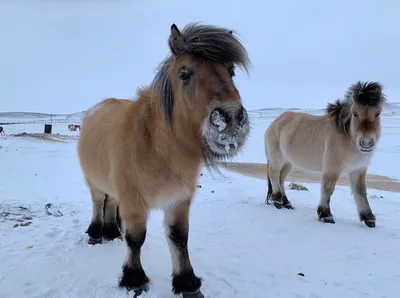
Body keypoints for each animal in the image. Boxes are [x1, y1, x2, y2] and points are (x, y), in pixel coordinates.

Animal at [77, 22, 250, 298]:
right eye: (184, 73)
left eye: (231, 72)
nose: (231, 120)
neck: (157, 149)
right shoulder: (134, 201)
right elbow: (136, 238)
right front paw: (134, 279)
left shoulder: (179, 198)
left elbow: (179, 237)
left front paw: (187, 282)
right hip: (93, 182)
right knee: (97, 202)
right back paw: (96, 233)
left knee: (110, 202)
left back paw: (112, 232)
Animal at [264, 80, 386, 227]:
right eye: (355, 113)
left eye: (378, 113)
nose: (366, 143)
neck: (348, 137)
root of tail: (276, 122)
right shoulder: (332, 168)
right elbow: (328, 189)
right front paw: (326, 215)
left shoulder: (358, 169)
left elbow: (361, 191)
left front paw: (368, 218)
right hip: (278, 159)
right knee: (274, 174)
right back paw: (277, 200)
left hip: (289, 162)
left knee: (281, 178)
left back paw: (286, 203)